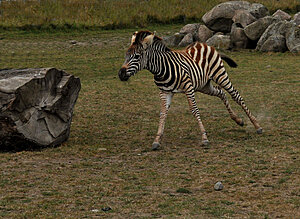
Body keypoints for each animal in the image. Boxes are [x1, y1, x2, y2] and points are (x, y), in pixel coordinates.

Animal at [118, 30, 262, 150]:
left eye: (137, 56)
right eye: (126, 55)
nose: (120, 74)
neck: (161, 69)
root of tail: (205, 45)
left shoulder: (188, 88)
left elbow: (194, 110)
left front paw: (204, 138)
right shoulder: (165, 92)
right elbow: (163, 113)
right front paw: (157, 140)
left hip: (220, 75)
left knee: (235, 95)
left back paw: (257, 125)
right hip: (204, 86)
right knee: (221, 93)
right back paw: (238, 120)